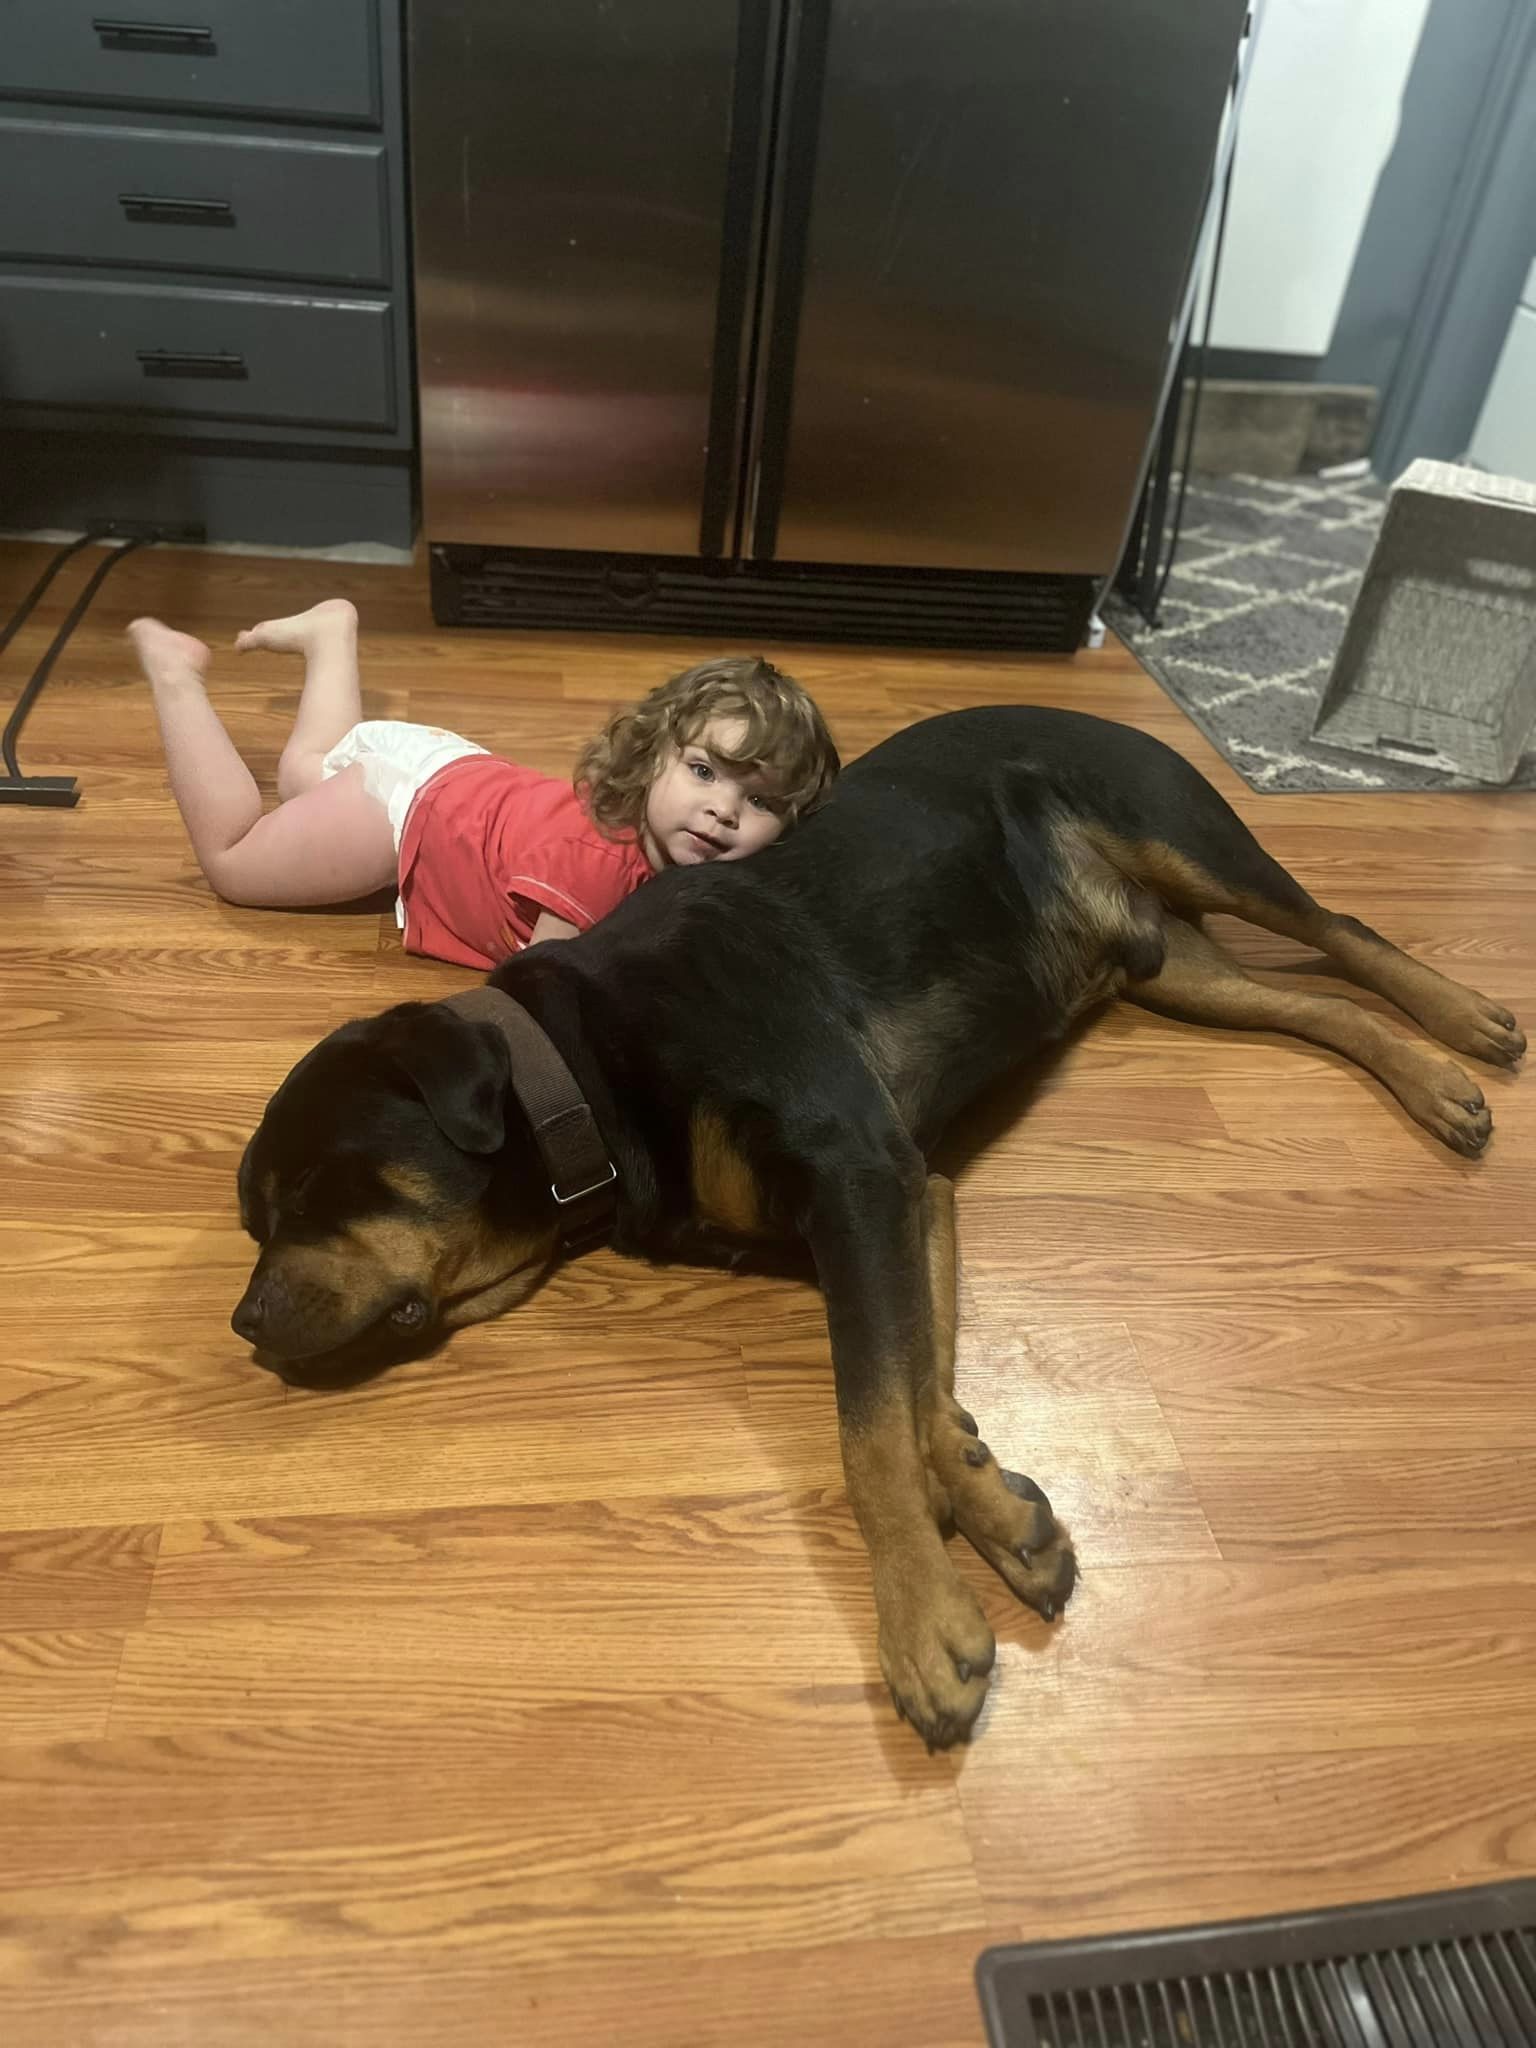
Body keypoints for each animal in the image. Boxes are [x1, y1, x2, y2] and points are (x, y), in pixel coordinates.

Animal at [237, 708, 1531, 1744]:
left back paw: (1466, 1024)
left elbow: (866, 1426)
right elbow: (913, 1393)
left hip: (1184, 835)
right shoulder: (903, 1194)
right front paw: (994, 1500)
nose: (244, 1321)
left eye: (304, 1191)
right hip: (1171, 966)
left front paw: (922, 1628)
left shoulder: (858, 1172)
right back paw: (1430, 1080)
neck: (584, 1070)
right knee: (1305, 1000)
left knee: (1338, 925)